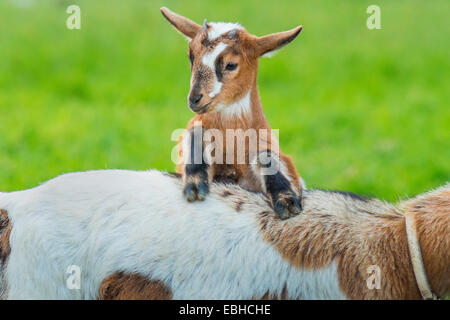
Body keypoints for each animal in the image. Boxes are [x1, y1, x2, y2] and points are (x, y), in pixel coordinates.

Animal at [161, 7, 306, 219]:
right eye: (191, 57)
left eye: (231, 64)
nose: (195, 99)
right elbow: (194, 132)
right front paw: (195, 185)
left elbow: (266, 156)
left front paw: (287, 200)